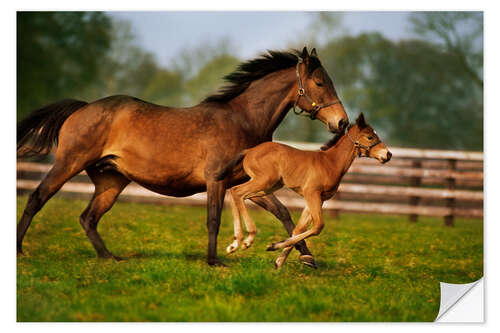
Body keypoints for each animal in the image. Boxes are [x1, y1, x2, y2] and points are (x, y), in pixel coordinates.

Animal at [17, 46, 350, 266]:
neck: (242, 120)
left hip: (110, 181)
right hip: (68, 163)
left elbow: (283, 213)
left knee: (88, 217)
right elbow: (213, 219)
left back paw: (109, 257)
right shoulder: (217, 179)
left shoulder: (248, 183)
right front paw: (215, 260)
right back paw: (20, 250)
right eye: (320, 83)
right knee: (37, 198)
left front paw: (307, 258)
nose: (342, 123)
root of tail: (83, 107)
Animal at [218, 113, 390, 268]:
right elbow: (318, 226)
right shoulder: (311, 193)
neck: (330, 163)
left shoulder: (318, 199)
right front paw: (274, 246)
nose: (388, 154)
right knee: (237, 191)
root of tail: (249, 151)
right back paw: (246, 240)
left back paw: (236, 243)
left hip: (269, 186)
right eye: (370, 137)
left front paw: (279, 261)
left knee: (237, 193)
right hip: (264, 181)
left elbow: (299, 229)